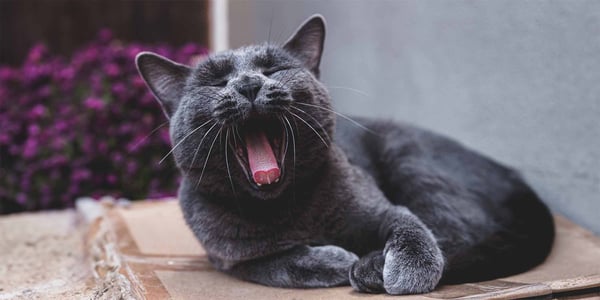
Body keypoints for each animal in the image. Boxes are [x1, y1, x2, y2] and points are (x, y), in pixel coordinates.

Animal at [136, 15, 552, 294]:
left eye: (274, 69)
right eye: (217, 82)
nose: (249, 84)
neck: (285, 208)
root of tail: (516, 178)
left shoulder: (383, 208)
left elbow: (411, 227)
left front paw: (404, 271)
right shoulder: (227, 256)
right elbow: (273, 262)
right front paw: (336, 259)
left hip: (410, 159)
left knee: (458, 232)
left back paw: (372, 267)